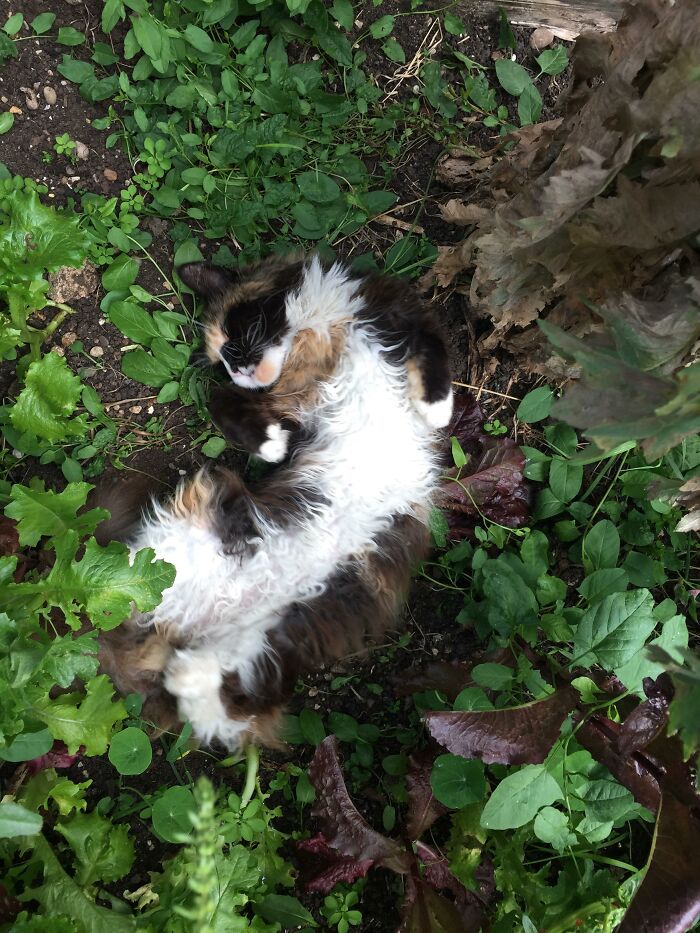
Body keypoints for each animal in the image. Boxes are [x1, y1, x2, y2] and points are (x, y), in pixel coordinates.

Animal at [100, 255, 454, 748]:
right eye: (221, 361)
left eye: (234, 335)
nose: (236, 366)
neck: (318, 332)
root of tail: (184, 625)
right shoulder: (283, 403)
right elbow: (224, 404)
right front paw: (271, 447)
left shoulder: (401, 318)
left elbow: (433, 358)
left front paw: (436, 410)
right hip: (171, 552)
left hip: (266, 641)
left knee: (223, 698)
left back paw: (184, 675)